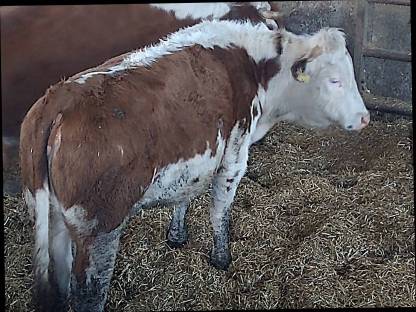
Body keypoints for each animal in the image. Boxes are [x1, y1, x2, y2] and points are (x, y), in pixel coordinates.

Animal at [21, 18, 368, 310]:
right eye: (335, 80)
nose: (364, 118)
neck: (253, 65)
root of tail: (60, 97)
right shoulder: (234, 156)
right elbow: (220, 211)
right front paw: (221, 258)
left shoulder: (196, 157)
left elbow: (184, 197)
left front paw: (177, 236)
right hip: (98, 229)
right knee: (88, 295)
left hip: (53, 219)